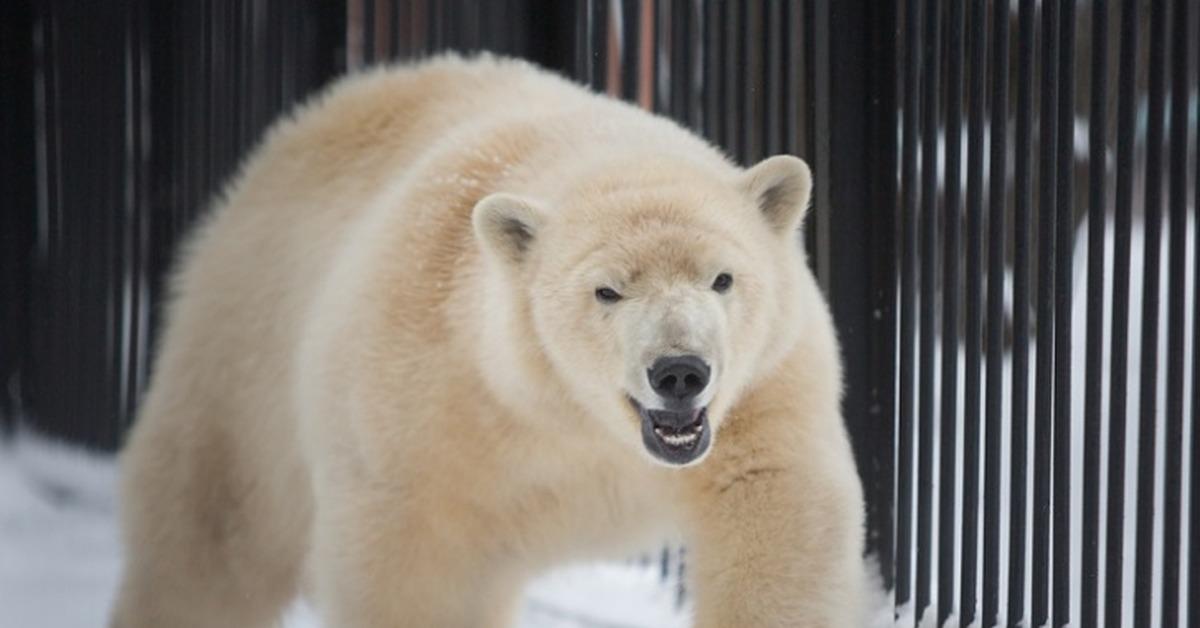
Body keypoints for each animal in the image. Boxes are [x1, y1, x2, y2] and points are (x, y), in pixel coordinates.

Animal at [110, 55, 864, 628]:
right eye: (607, 291)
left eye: (722, 278)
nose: (680, 370)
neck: (578, 422)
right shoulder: (424, 408)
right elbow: (411, 571)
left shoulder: (764, 391)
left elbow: (780, 521)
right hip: (244, 351)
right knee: (208, 536)